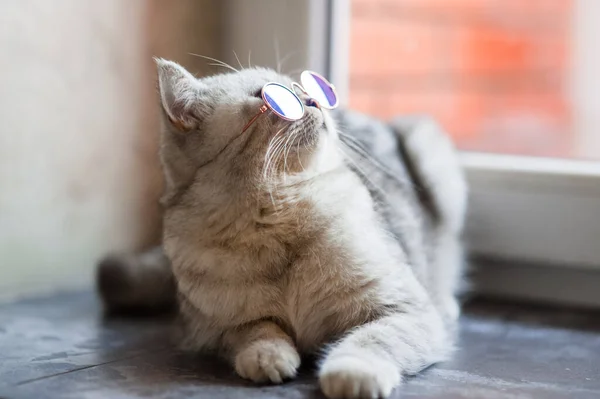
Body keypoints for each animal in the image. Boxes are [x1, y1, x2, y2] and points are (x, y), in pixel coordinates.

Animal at [96, 57, 466, 398]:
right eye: (271, 96)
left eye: (304, 88)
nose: (315, 100)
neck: (276, 219)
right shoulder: (210, 328)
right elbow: (257, 331)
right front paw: (268, 357)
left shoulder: (404, 310)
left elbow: (370, 341)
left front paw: (351, 374)